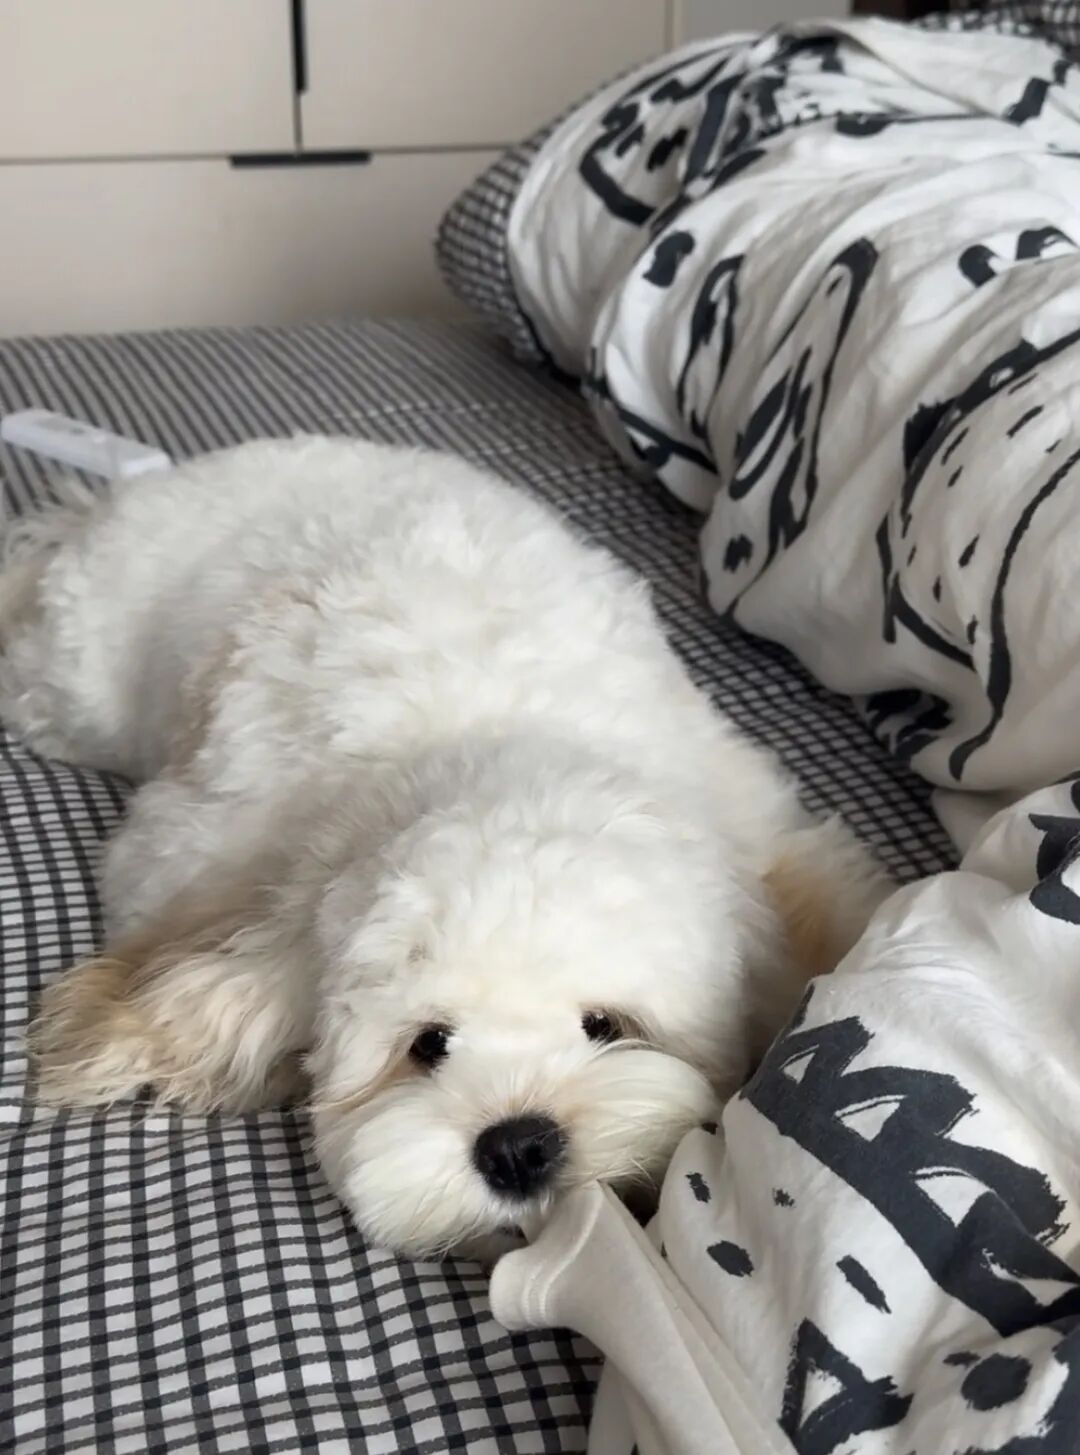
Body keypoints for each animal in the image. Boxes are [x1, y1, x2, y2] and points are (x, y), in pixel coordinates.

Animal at [0, 437, 886, 1257]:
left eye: (605, 1024)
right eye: (427, 1044)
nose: (519, 1144)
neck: (498, 741)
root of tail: (145, 488)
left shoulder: (753, 816)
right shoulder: (194, 852)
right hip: (76, 683)